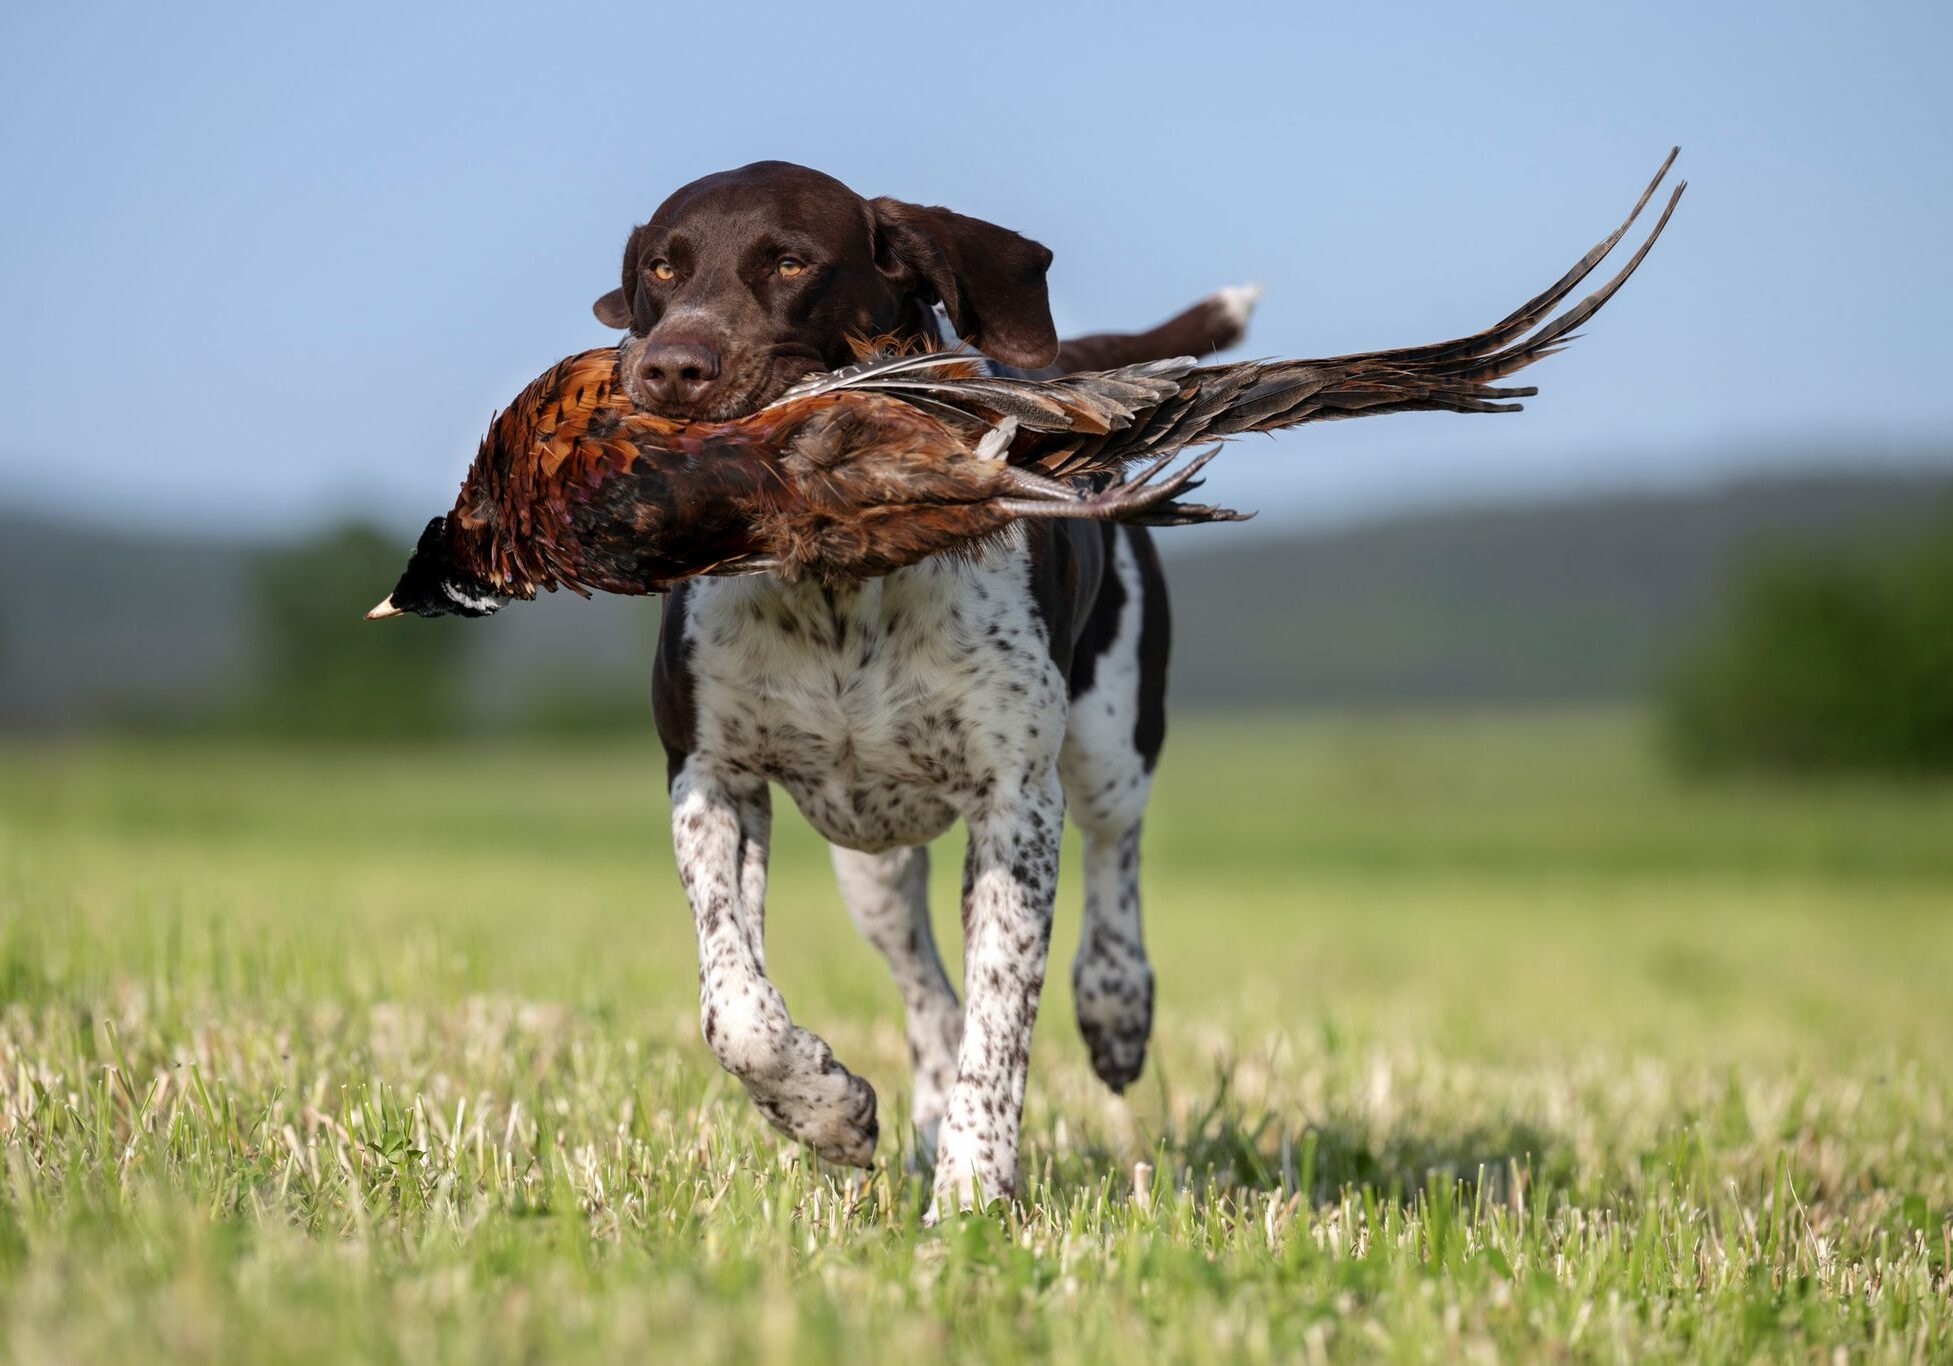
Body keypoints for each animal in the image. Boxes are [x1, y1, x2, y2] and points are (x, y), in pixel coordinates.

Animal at [589, 160, 1249, 1219]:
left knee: (1115, 852)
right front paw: (827, 1111)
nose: (670, 367)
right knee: (928, 996)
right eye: (662, 266)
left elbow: (1001, 1027)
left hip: (1110, 735)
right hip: (873, 866)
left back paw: (1113, 1006)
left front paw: (972, 1196)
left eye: (790, 261)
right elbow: (735, 1007)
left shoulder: (1015, 807)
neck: (835, 586)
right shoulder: (709, 778)